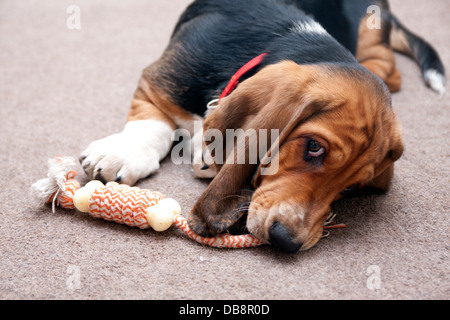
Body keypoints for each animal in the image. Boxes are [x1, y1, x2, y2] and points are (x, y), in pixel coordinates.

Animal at [79, 1, 444, 254]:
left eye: (352, 188)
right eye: (313, 147)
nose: (287, 242)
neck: (287, 38)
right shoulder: (157, 83)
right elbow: (151, 125)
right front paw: (122, 154)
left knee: (389, 70)